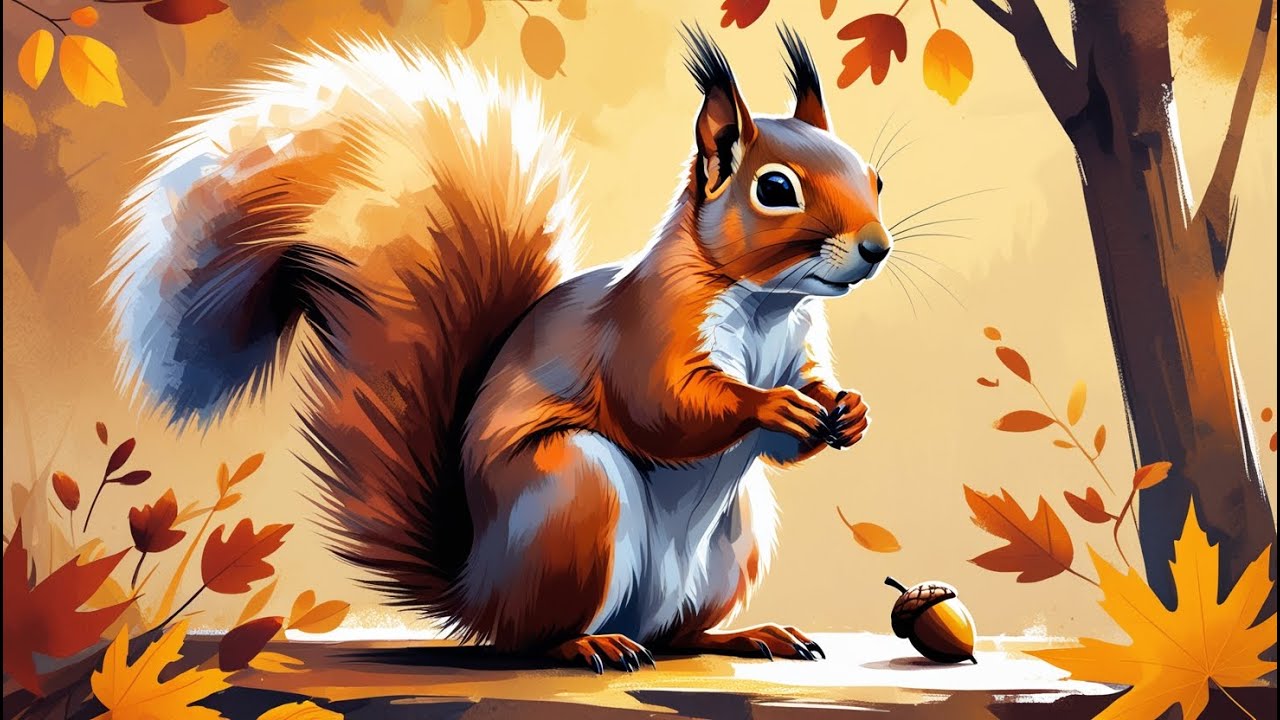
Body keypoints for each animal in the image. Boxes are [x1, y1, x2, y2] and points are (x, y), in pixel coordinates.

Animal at [106, 26, 892, 672]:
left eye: (874, 177)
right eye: (775, 188)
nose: (876, 249)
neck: (766, 303)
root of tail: (475, 589)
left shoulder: (799, 347)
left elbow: (800, 412)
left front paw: (845, 409)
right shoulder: (646, 331)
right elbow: (662, 407)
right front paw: (770, 406)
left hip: (734, 538)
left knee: (679, 634)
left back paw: (747, 634)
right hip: (573, 495)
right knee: (536, 638)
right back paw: (589, 644)